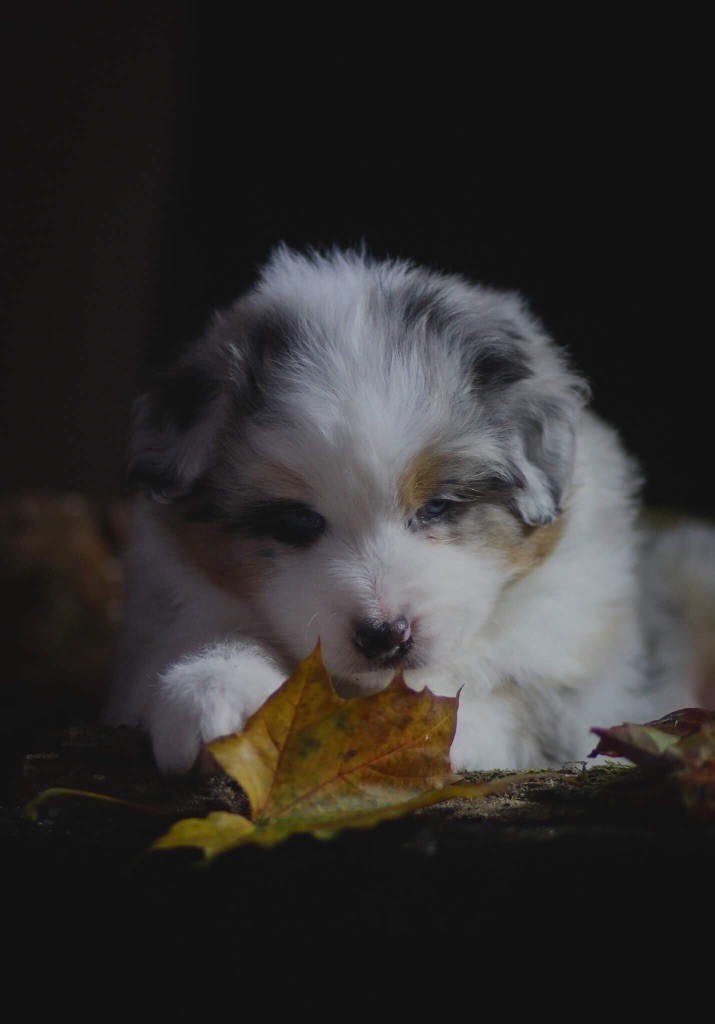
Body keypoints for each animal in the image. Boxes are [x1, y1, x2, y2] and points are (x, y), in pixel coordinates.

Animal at [106, 246, 715, 774]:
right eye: (298, 520)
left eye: (438, 506)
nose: (385, 636)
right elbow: (205, 634)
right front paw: (219, 694)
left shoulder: (580, 670)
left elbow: (505, 703)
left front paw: (400, 732)